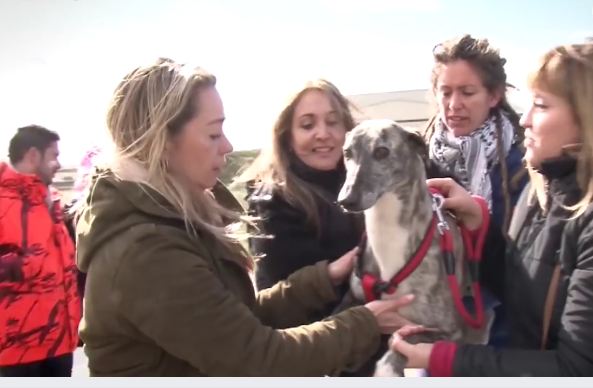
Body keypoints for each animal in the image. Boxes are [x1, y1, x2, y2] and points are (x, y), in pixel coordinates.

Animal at [336, 119, 488, 378]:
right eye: (347, 153)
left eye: (382, 151)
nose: (345, 201)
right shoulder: (353, 296)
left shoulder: (451, 330)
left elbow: (399, 344)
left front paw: (386, 368)